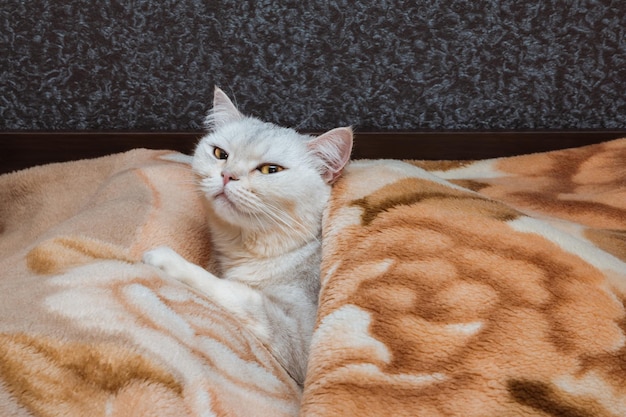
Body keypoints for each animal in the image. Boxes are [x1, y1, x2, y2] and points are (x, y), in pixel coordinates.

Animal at [143, 86, 354, 386]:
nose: (227, 175)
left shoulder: (301, 338)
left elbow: (233, 291)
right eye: (220, 153)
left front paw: (168, 260)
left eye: (270, 170)